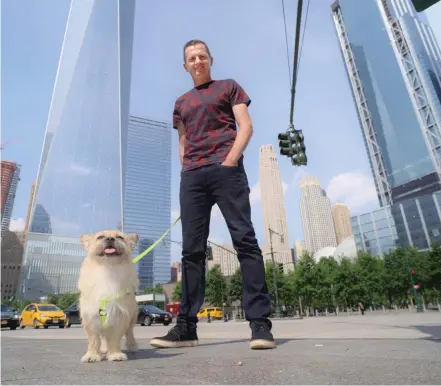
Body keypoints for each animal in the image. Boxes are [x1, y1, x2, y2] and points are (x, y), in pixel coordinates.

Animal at [77, 231, 139, 364]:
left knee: (130, 332)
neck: (108, 269)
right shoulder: (91, 317)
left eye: (120, 237)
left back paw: (132, 346)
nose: (110, 238)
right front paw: (92, 355)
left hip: (132, 318)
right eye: (100, 237)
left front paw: (115, 354)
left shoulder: (120, 316)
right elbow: (94, 339)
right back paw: (104, 349)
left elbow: (114, 338)